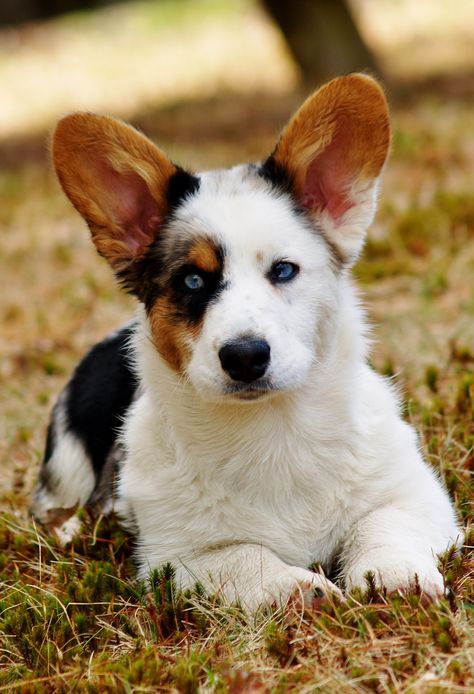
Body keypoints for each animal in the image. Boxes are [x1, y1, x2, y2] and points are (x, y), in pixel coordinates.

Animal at [31, 73, 462, 612]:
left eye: (284, 269)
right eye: (193, 281)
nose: (245, 357)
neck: (271, 429)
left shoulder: (416, 496)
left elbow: (383, 524)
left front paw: (394, 575)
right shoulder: (179, 558)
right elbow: (245, 556)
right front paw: (297, 587)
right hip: (66, 459)